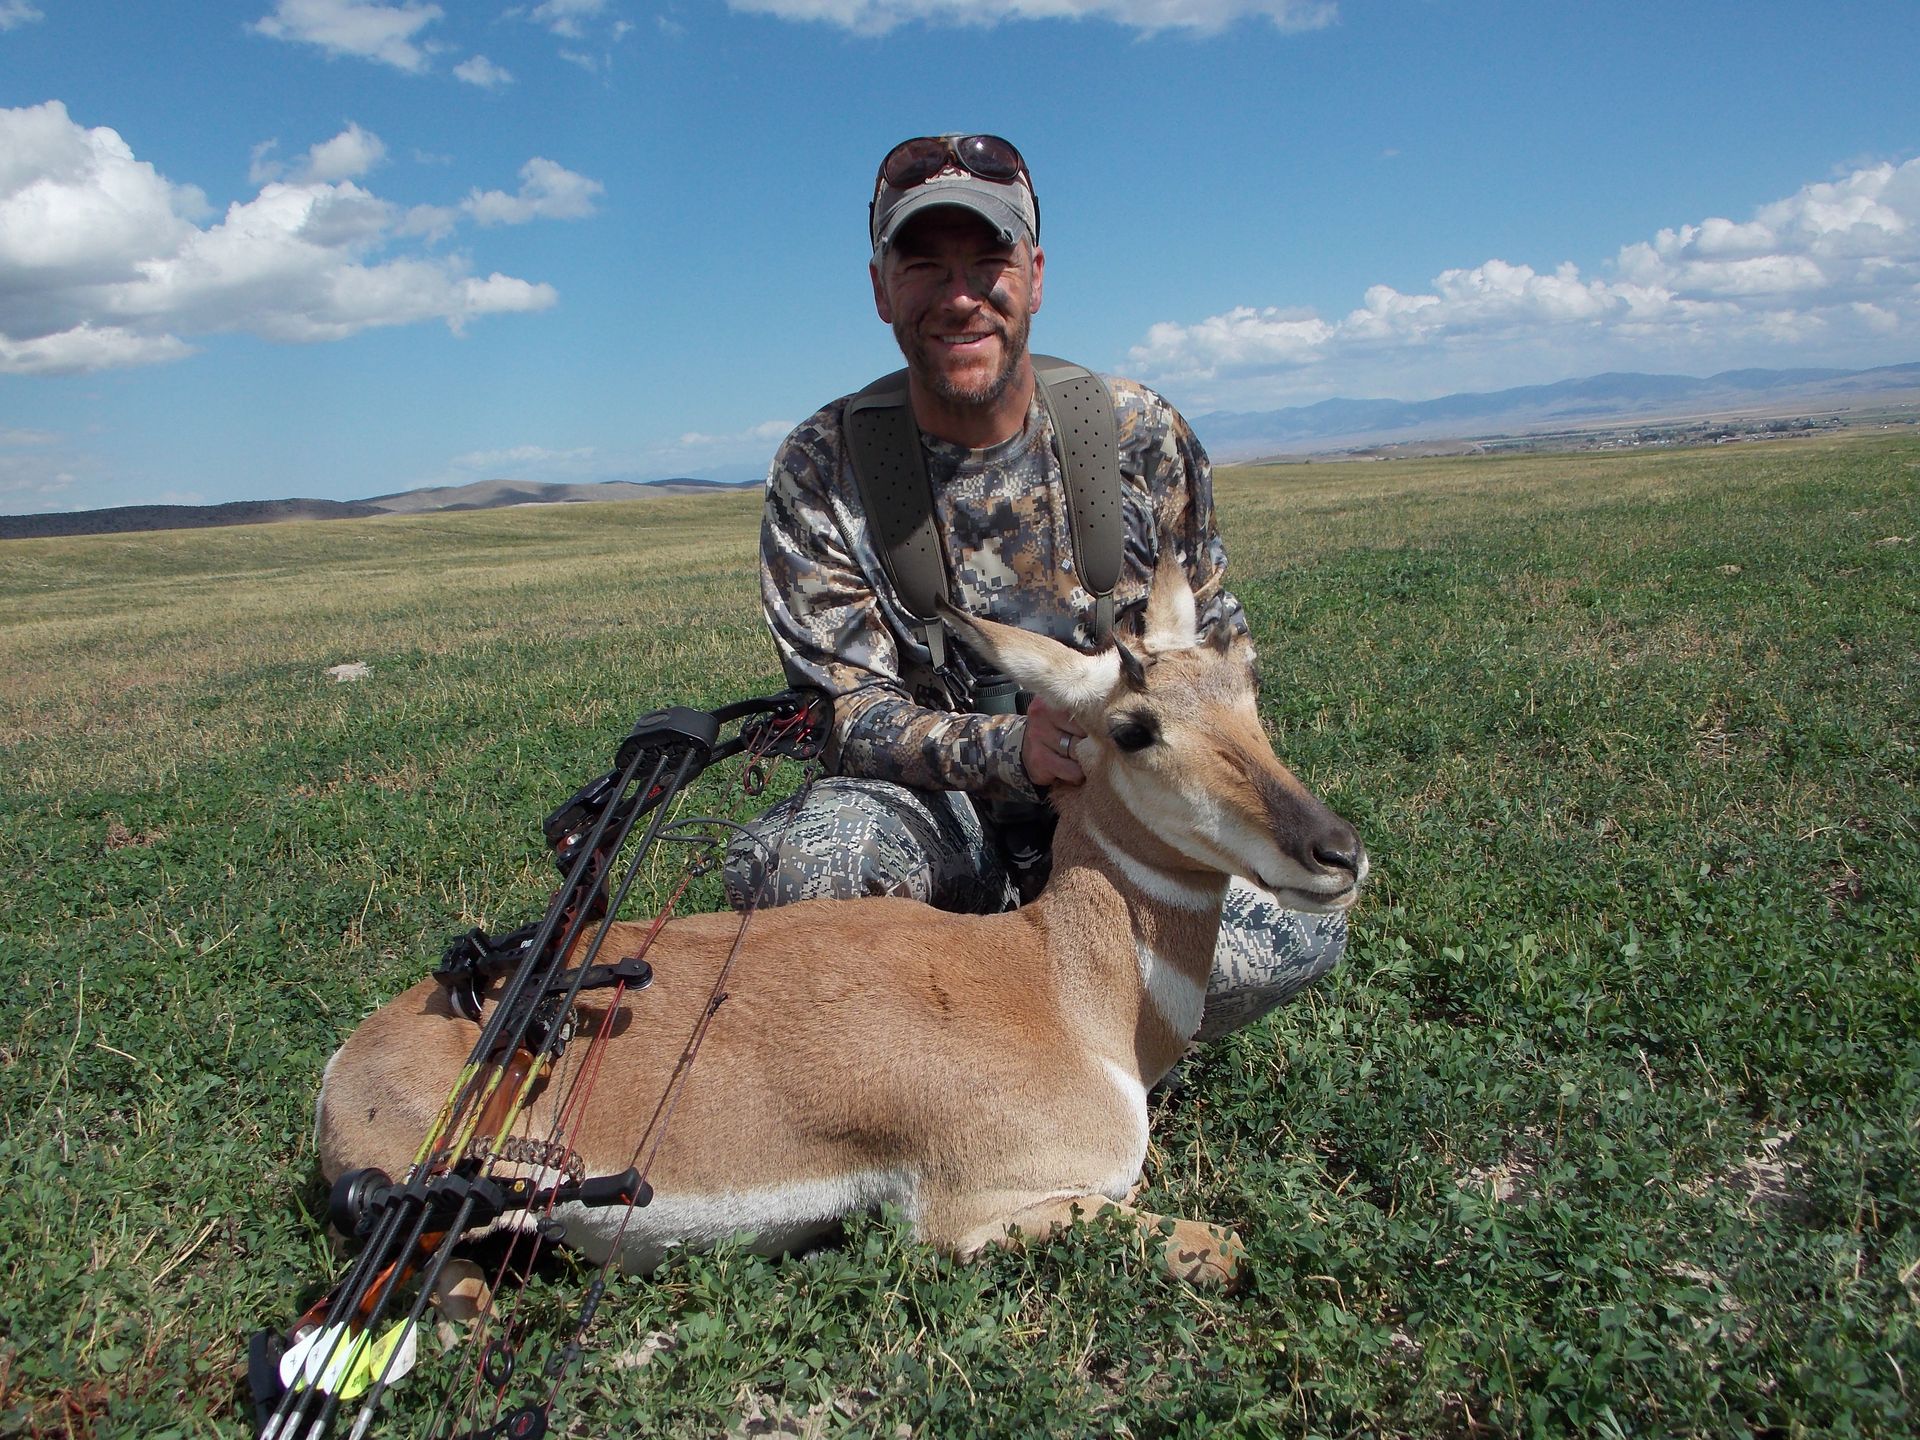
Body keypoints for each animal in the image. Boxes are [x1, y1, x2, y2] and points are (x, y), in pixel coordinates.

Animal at [316, 557, 1367, 1287]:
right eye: (1134, 727)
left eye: (1248, 686)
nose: (1337, 854)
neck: (1060, 989)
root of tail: (351, 1059)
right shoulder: (971, 1211)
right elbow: (1215, 1242)